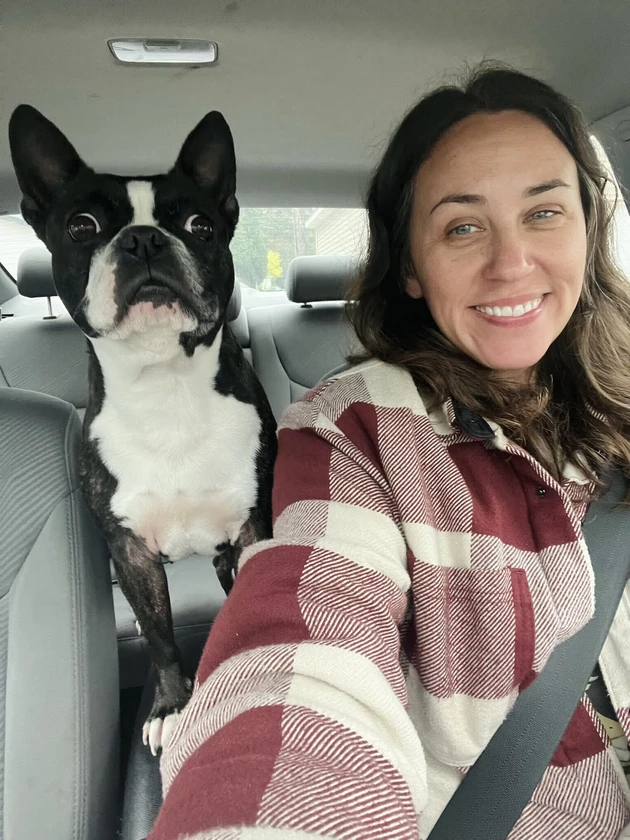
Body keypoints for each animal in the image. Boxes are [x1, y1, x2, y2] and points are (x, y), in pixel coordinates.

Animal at [9, 105, 277, 754]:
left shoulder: (251, 524)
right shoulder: (129, 550)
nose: (144, 238)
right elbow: (158, 636)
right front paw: (171, 705)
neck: (165, 385)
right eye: (81, 226)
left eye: (200, 225)